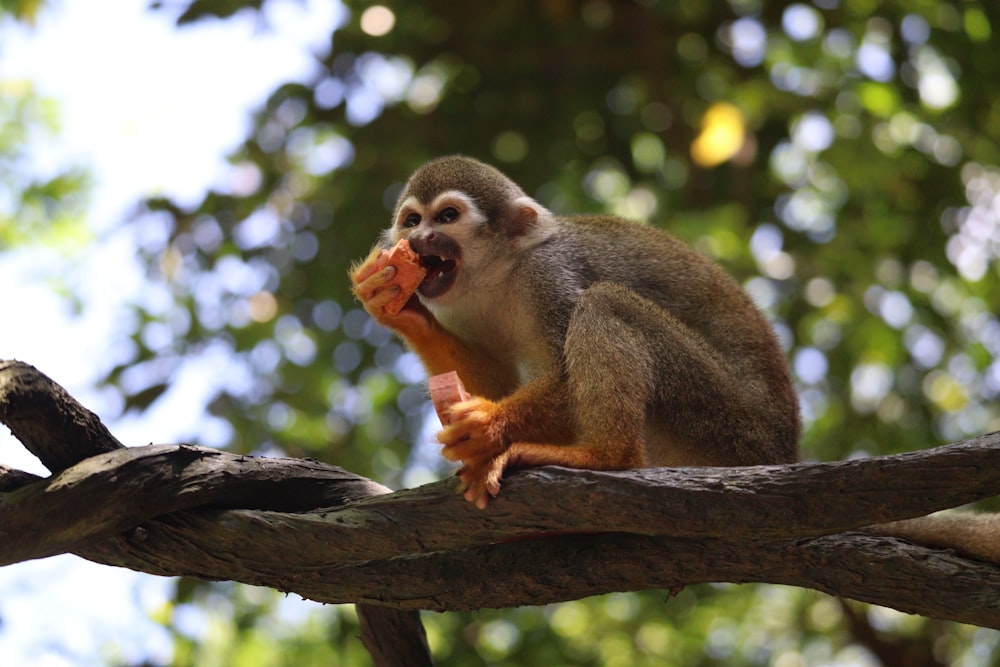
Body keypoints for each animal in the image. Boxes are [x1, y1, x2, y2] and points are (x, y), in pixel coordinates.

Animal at [352, 155, 796, 512]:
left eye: (446, 216)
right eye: (412, 220)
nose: (419, 238)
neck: (500, 275)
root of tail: (784, 448)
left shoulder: (549, 273)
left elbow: (565, 388)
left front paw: (488, 423)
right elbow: (495, 384)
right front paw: (396, 308)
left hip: (732, 424)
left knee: (604, 301)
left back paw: (607, 457)